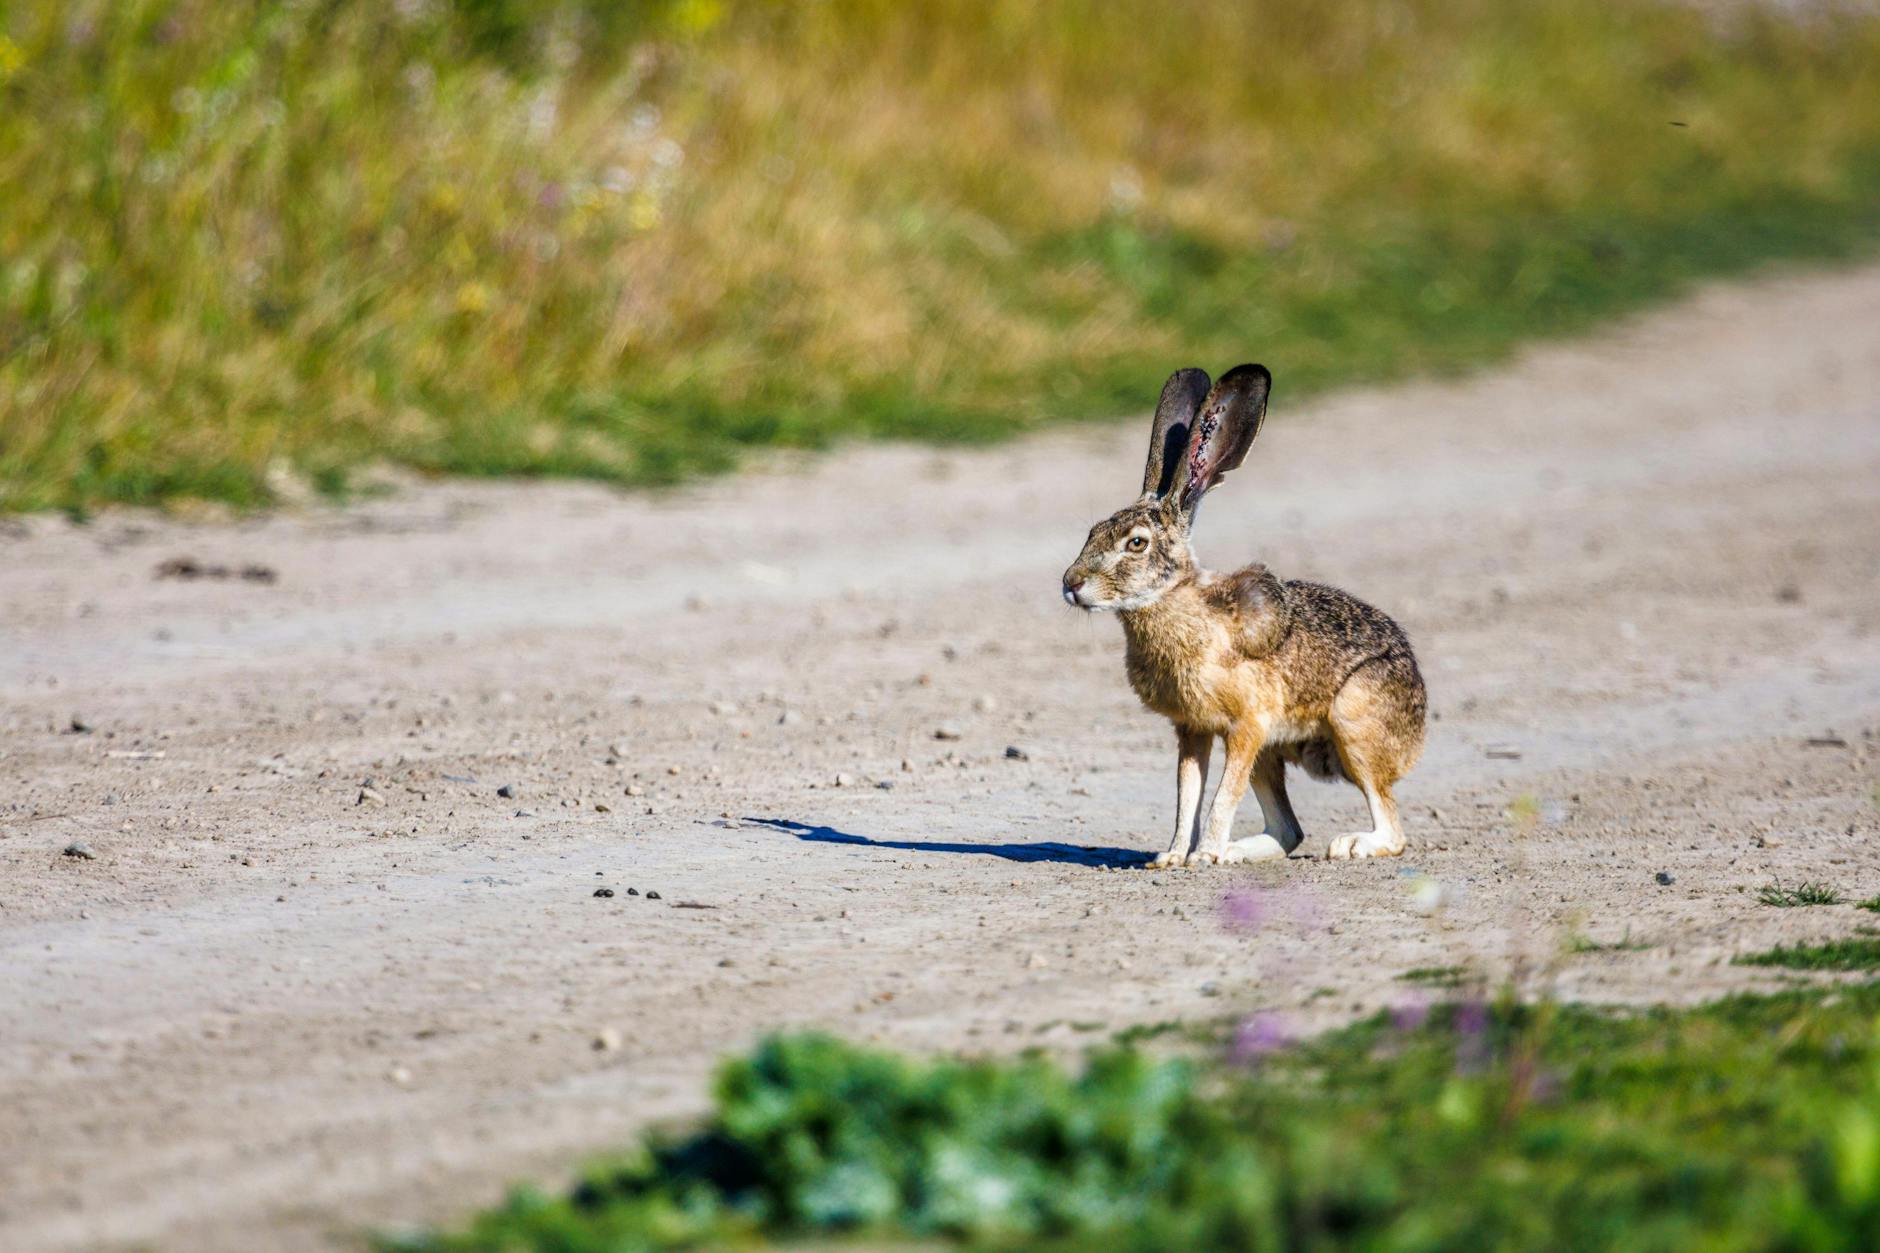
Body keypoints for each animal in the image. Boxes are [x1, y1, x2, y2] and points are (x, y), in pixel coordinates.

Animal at [1060, 364, 1426, 866]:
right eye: (1093, 531)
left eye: (1136, 543)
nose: (1071, 583)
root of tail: (1418, 727)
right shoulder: (1193, 729)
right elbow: (1187, 795)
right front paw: (1172, 857)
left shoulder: (1248, 725)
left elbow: (1221, 797)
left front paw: (1203, 855)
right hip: (1274, 754)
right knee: (1288, 830)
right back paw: (1238, 851)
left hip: (1353, 729)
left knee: (1390, 824)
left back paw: (1346, 845)